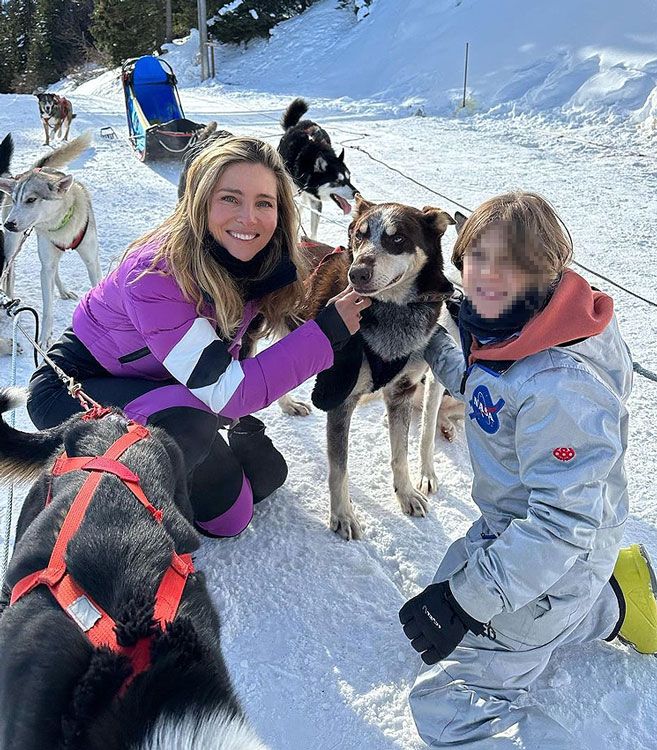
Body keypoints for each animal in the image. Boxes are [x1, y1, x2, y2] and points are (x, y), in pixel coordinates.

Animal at [0, 133, 102, 350]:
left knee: (54, 271)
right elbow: (47, 308)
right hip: (14, 248)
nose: (9, 224)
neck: (59, 225)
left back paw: (62, 291)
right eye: (16, 199)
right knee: (13, 273)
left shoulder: (91, 261)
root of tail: (33, 170)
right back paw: (10, 303)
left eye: (31, 199)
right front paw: (45, 337)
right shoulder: (45, 264)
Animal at [276, 97, 358, 238]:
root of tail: (295, 126)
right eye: (338, 181)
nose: (356, 193)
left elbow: (313, 230)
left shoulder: (315, 201)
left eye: (349, 179)